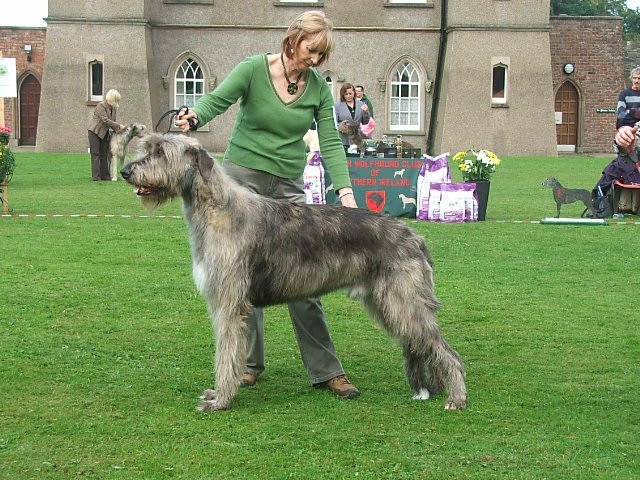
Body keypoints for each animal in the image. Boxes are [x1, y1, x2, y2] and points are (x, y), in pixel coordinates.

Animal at [121, 133, 464, 410]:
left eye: (160, 151)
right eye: (147, 147)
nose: (126, 171)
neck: (217, 207)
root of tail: (415, 236)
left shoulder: (227, 303)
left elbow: (225, 354)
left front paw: (220, 400)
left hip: (403, 301)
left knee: (446, 350)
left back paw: (456, 398)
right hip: (388, 304)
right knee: (422, 345)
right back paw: (433, 389)